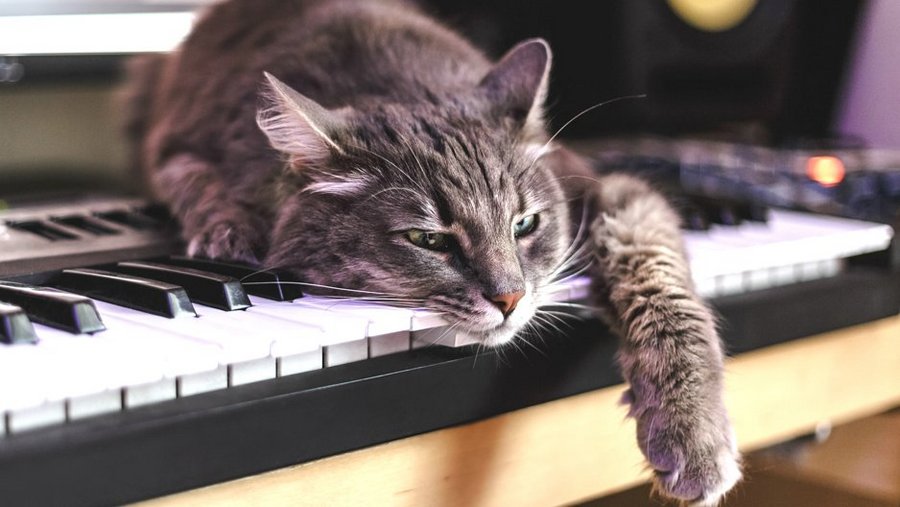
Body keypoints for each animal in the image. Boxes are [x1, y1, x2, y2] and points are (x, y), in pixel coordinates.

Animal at [128, 0, 744, 502]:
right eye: (429, 240)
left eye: (525, 224)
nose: (510, 299)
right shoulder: (176, 147)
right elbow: (198, 186)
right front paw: (230, 230)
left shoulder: (614, 191)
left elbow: (660, 282)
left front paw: (694, 432)